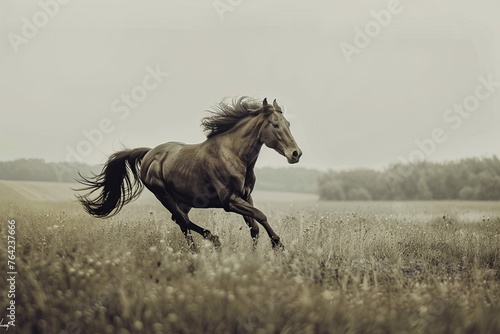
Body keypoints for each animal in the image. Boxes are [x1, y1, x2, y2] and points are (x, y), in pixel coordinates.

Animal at [74, 96, 300, 248]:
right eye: (275, 124)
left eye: (288, 124)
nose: (296, 153)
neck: (233, 154)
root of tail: (149, 154)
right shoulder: (229, 201)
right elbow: (260, 215)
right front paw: (278, 244)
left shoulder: (246, 196)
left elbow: (254, 226)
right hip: (165, 196)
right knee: (182, 221)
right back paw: (208, 244)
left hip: (185, 200)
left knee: (181, 221)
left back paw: (210, 243)